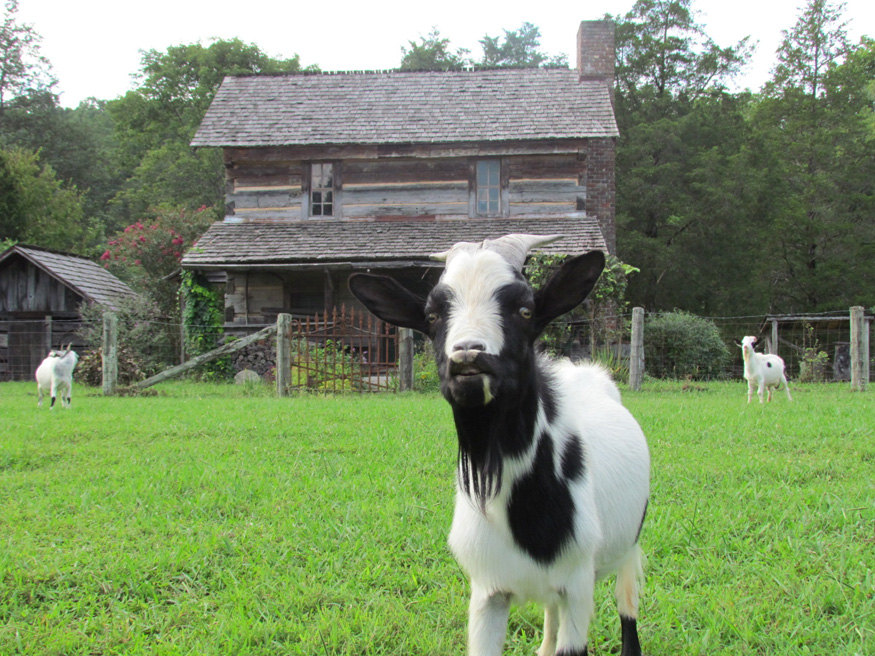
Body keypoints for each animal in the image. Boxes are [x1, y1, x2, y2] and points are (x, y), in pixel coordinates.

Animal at [350, 236, 652, 656]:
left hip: (627, 547)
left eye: (525, 310)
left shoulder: (577, 585)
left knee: (628, 605)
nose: (467, 356)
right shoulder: (487, 591)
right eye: (432, 316)